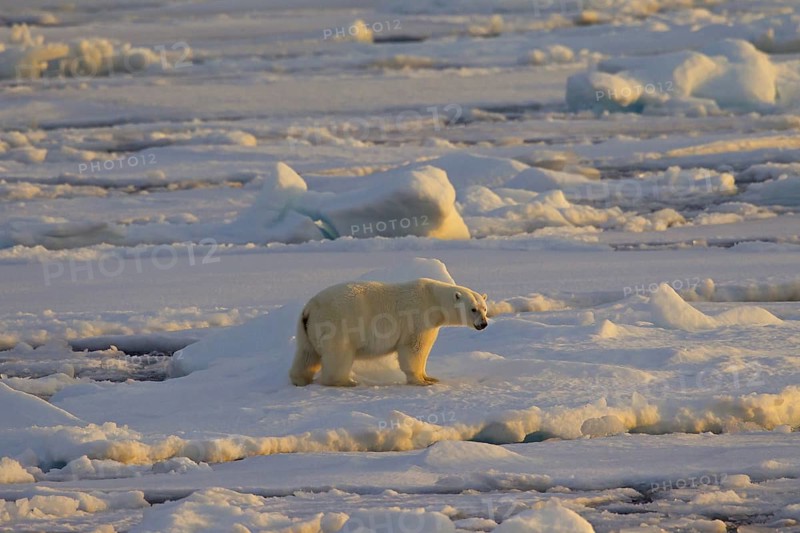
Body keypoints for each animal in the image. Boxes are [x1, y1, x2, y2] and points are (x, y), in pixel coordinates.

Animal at [290, 278, 488, 387]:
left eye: (485, 308)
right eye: (473, 309)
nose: (484, 324)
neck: (433, 299)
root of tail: (310, 308)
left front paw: (430, 377)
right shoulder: (417, 317)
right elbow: (414, 349)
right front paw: (421, 381)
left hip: (306, 328)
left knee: (306, 354)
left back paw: (299, 379)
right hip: (337, 324)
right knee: (339, 355)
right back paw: (346, 382)